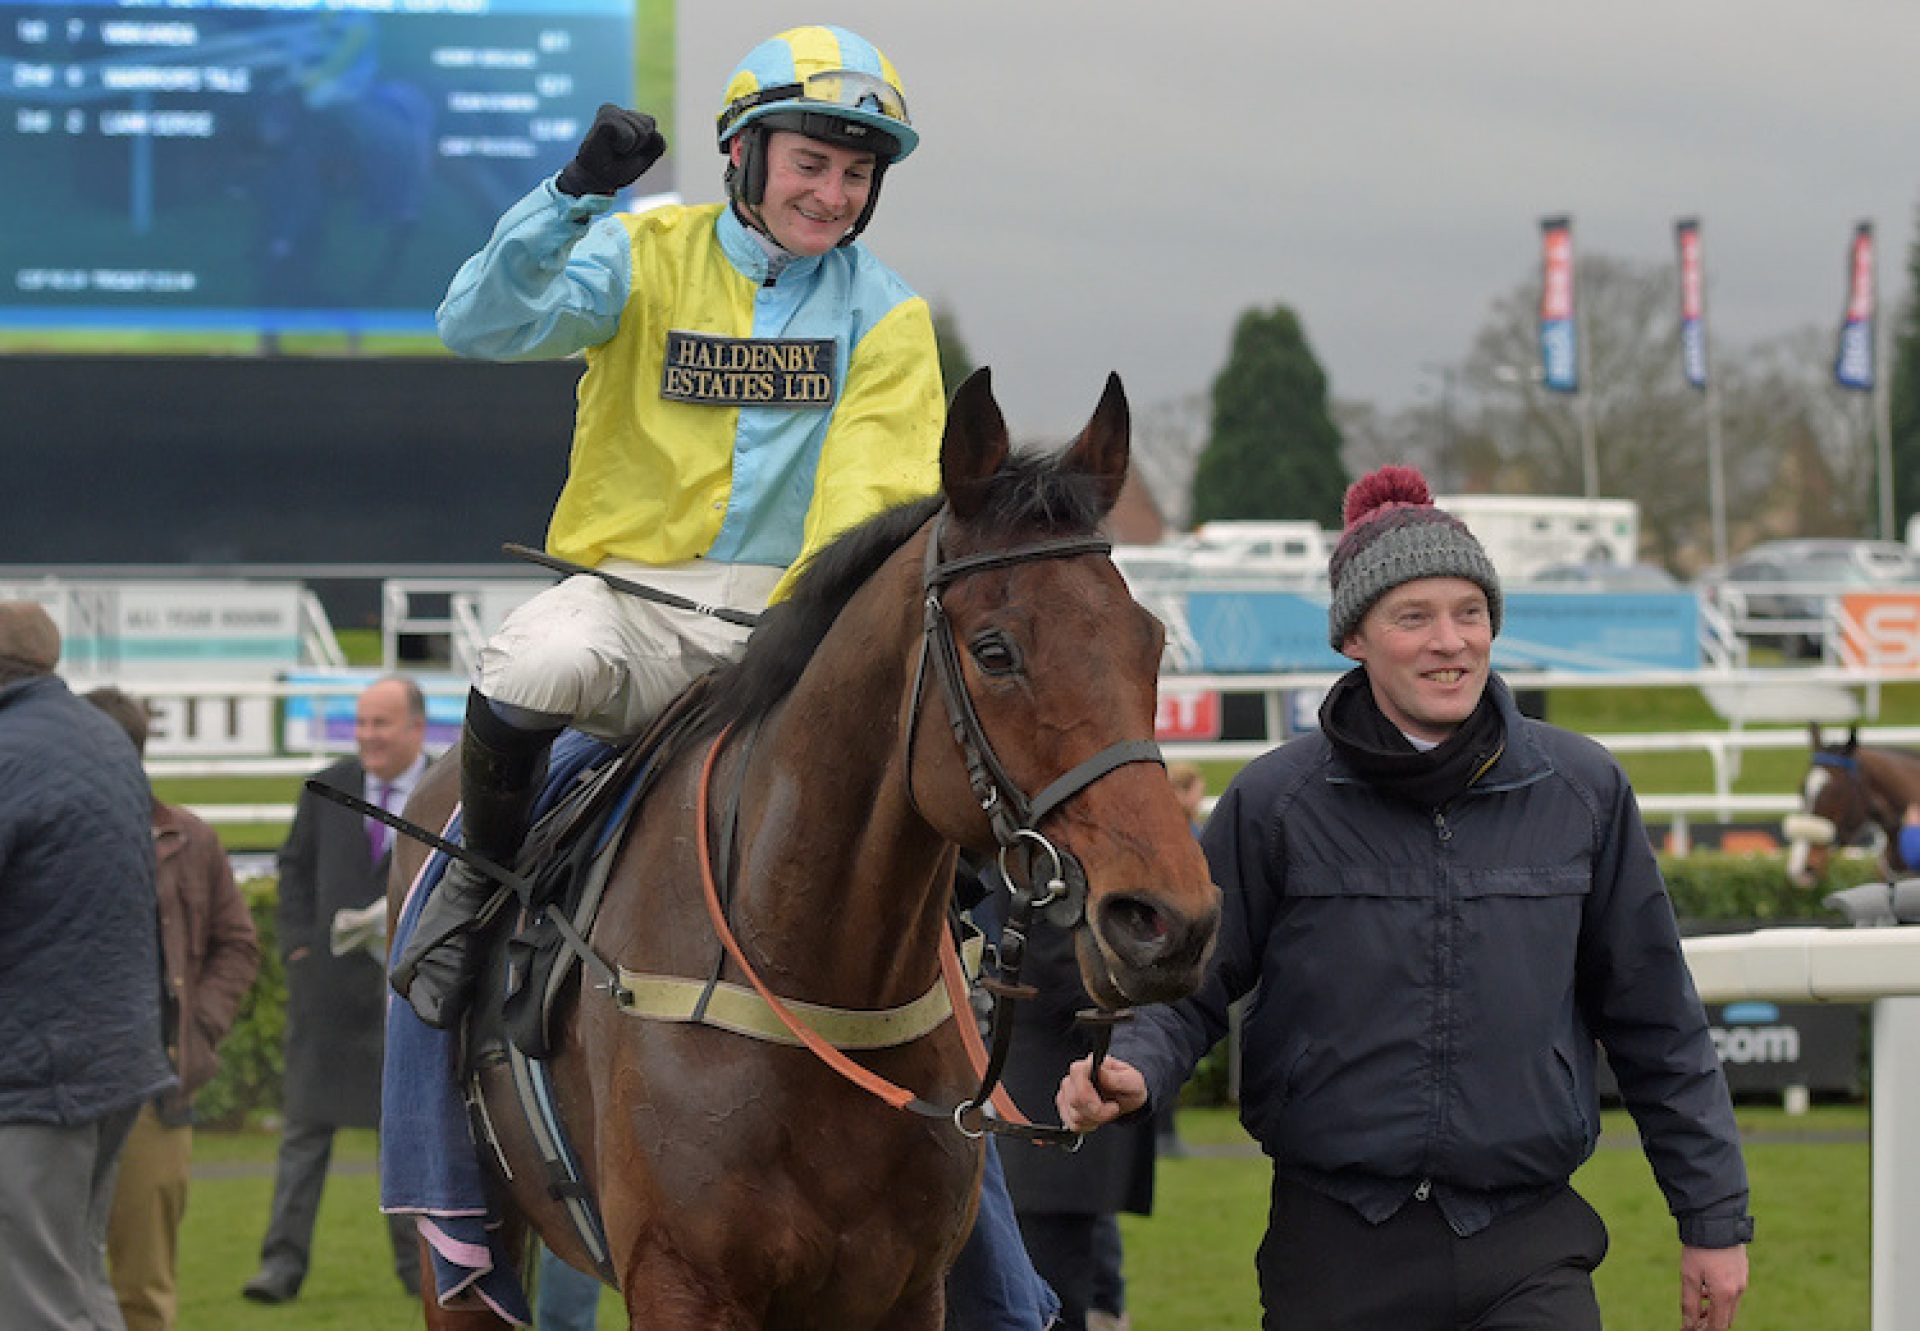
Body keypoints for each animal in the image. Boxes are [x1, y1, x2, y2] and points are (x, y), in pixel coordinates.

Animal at [397, 366, 1221, 1329]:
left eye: (1151, 641)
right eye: (994, 651)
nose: (1167, 919)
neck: (812, 975)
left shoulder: (908, 1289)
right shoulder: (682, 1282)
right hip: (464, 1242)